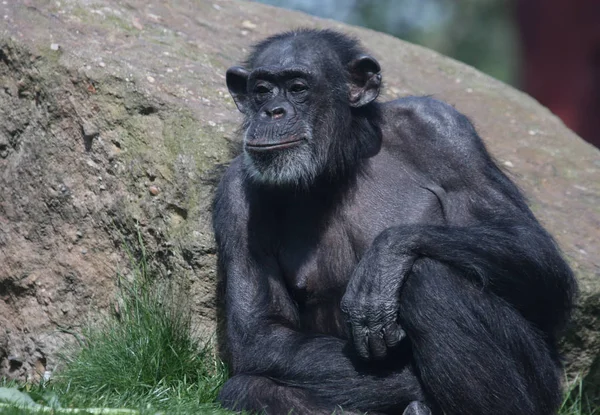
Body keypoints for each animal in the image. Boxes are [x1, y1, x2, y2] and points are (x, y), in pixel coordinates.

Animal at [213, 29, 580, 415]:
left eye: (298, 87)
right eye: (262, 90)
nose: (272, 111)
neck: (341, 164)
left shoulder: (444, 129)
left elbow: (534, 252)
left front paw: (384, 262)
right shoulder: (237, 195)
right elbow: (263, 333)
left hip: (544, 388)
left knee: (429, 278)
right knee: (245, 388)